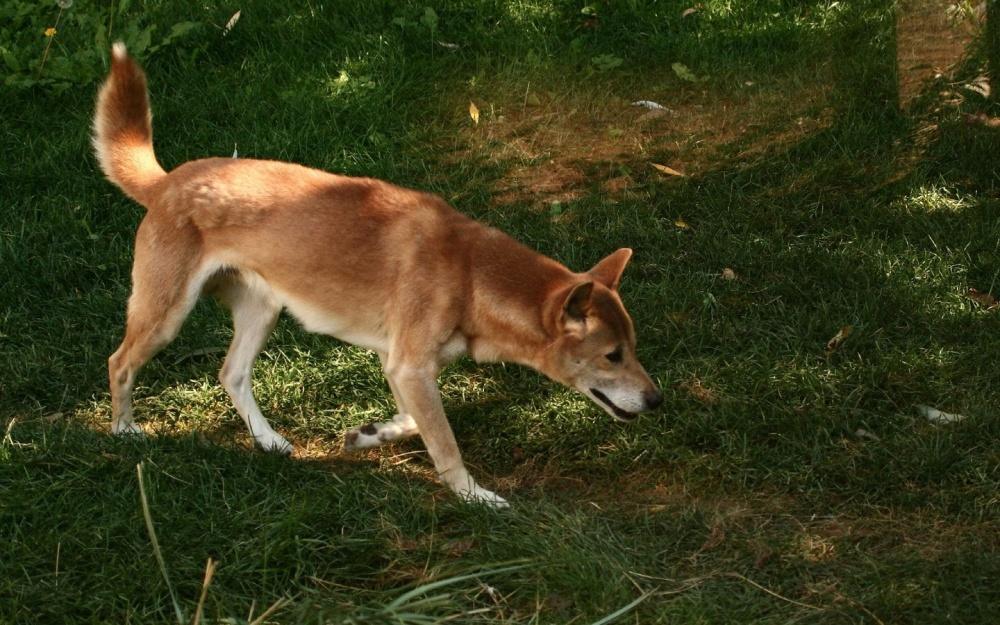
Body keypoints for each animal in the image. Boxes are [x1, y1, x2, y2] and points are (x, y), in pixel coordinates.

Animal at [94, 44, 664, 504]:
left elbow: (414, 422)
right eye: (613, 356)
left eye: (633, 347)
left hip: (263, 310)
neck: (469, 275)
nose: (658, 400)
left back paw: (269, 440)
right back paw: (124, 432)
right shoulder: (410, 366)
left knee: (231, 374)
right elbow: (445, 444)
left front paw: (369, 435)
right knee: (120, 362)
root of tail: (169, 181)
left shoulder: (403, 365)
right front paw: (475, 498)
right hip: (165, 313)